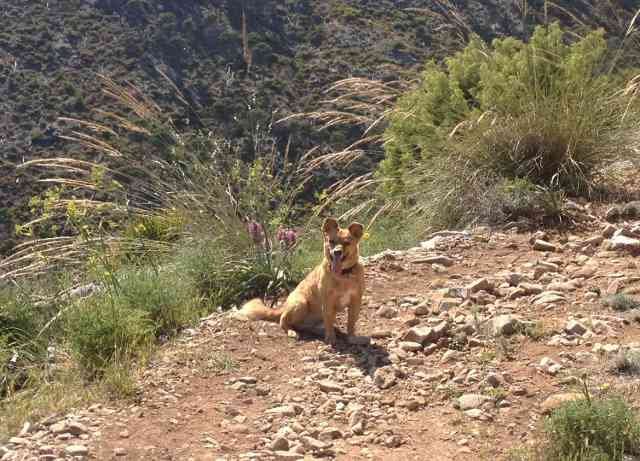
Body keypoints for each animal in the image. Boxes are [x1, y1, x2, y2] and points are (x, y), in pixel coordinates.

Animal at [235, 217, 364, 344]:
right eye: (331, 241)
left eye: (347, 243)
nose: (337, 252)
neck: (343, 275)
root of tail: (284, 307)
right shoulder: (328, 301)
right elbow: (329, 323)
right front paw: (331, 338)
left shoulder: (355, 302)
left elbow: (351, 323)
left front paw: (351, 337)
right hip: (300, 303)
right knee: (283, 321)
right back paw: (292, 332)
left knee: (305, 326)